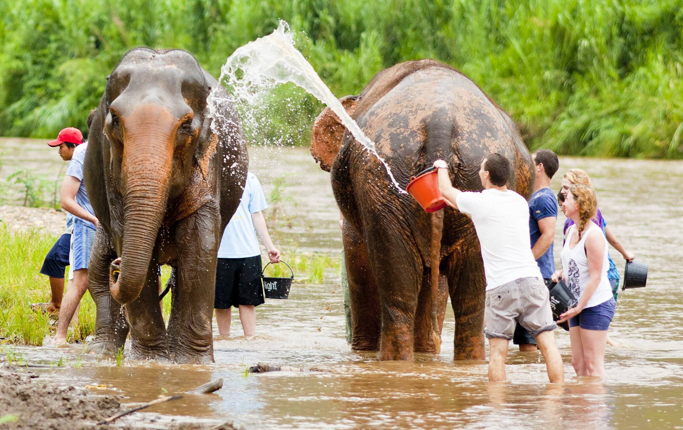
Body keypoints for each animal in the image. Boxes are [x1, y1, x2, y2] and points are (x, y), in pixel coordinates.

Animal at [83, 48, 248, 363]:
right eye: (115, 120)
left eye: (185, 125)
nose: (116, 268)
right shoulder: (110, 167)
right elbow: (128, 241)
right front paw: (152, 362)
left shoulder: (210, 157)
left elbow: (199, 247)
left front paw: (191, 364)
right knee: (96, 270)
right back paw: (101, 354)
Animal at [311, 59, 533, 361]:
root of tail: (441, 122)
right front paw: (426, 351)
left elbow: (358, 256)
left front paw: (367, 350)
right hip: (465, 188)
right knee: (470, 300)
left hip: (383, 185)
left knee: (398, 295)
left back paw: (395, 361)